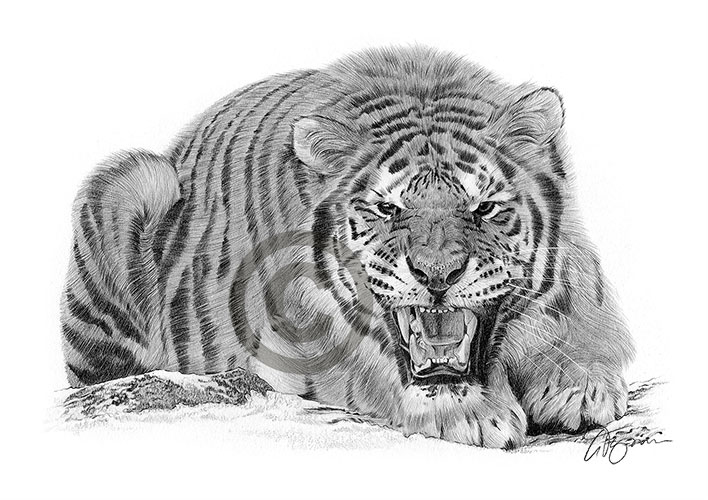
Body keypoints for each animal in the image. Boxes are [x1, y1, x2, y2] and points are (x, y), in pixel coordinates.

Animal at [61, 46, 634, 448]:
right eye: (388, 209)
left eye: (483, 208)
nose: (437, 276)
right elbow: (380, 369)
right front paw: (471, 413)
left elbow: (583, 320)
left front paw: (581, 385)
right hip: (137, 180)